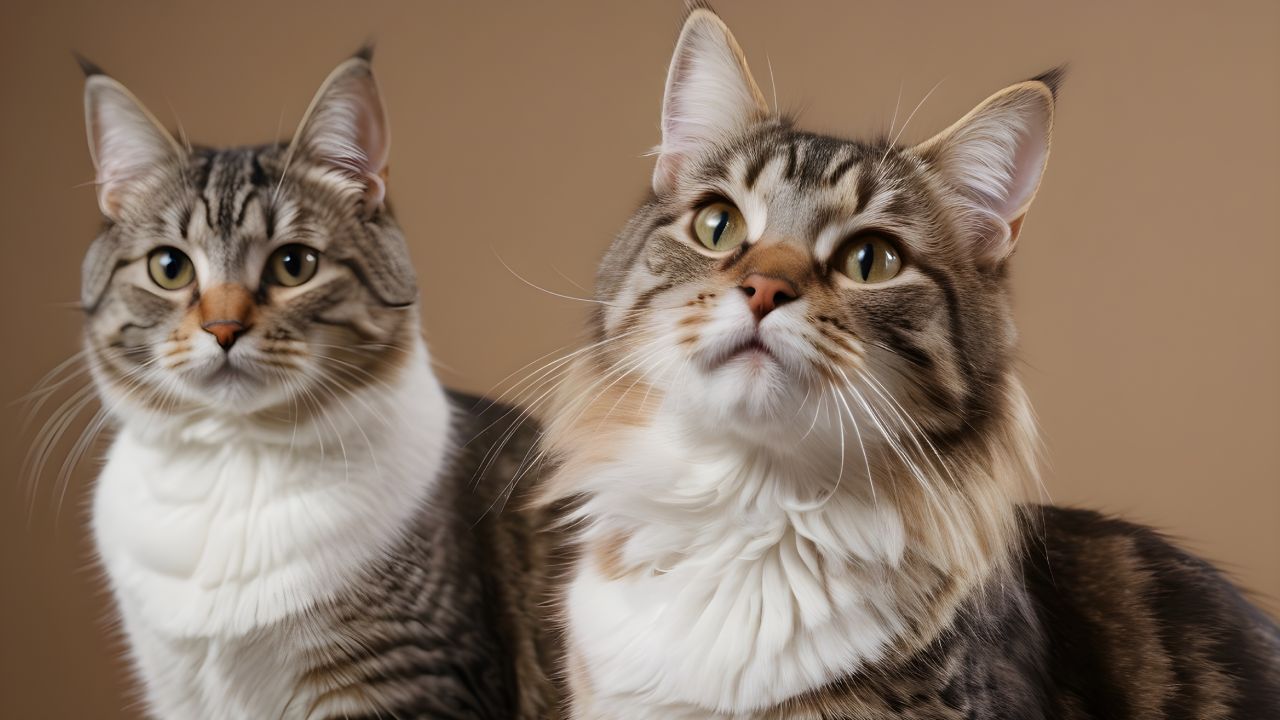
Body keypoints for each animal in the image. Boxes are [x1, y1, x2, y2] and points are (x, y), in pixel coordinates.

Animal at [80, 50, 558, 717]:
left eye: (294, 265)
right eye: (169, 267)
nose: (223, 327)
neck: (235, 465)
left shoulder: (410, 679)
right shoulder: (175, 689)